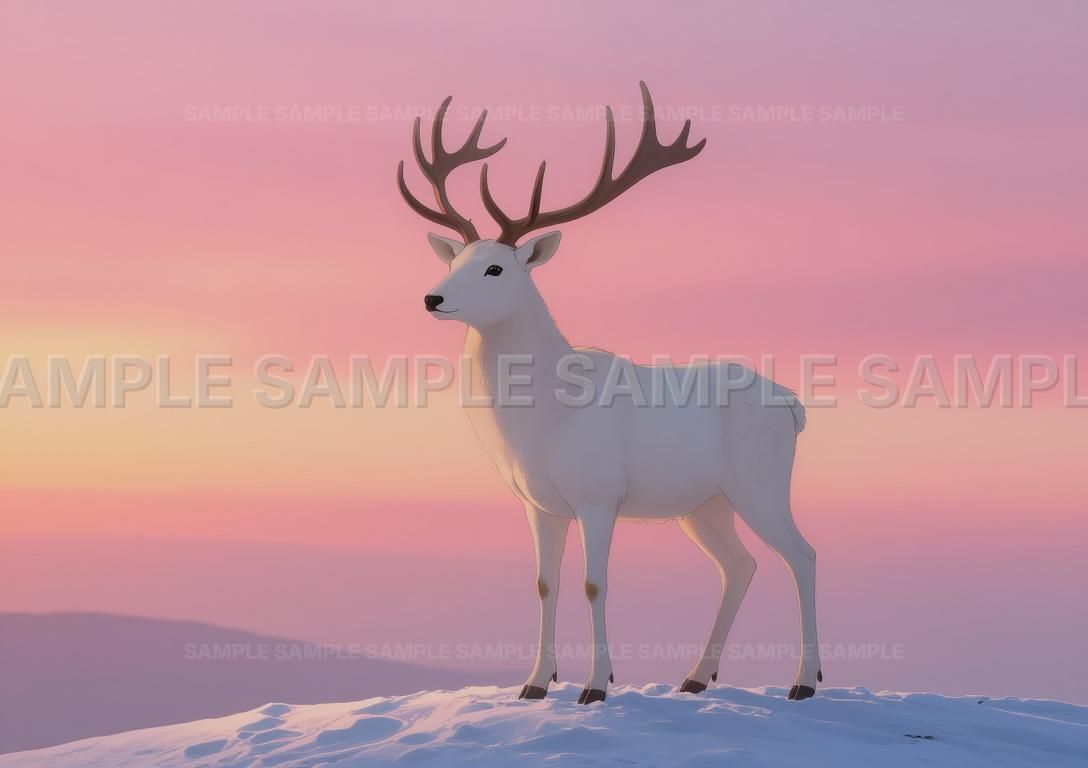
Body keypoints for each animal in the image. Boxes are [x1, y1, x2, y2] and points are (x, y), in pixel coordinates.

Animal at [397, 82, 821, 705]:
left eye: (496, 268)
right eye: (455, 258)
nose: (432, 298)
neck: (543, 420)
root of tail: (793, 405)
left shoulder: (599, 495)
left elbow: (594, 583)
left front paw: (596, 686)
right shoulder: (538, 504)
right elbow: (545, 583)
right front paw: (534, 684)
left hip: (761, 483)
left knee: (801, 555)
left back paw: (804, 682)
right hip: (705, 504)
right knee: (739, 565)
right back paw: (696, 677)